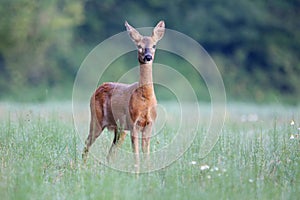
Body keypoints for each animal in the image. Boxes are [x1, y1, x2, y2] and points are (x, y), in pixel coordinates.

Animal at [82, 21, 165, 173]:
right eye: (139, 46)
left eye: (154, 45)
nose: (148, 57)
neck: (145, 99)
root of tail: (97, 88)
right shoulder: (133, 123)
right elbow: (136, 154)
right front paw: (137, 174)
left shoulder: (149, 123)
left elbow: (146, 153)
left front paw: (148, 173)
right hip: (96, 119)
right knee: (87, 143)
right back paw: (81, 167)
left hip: (119, 129)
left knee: (110, 153)